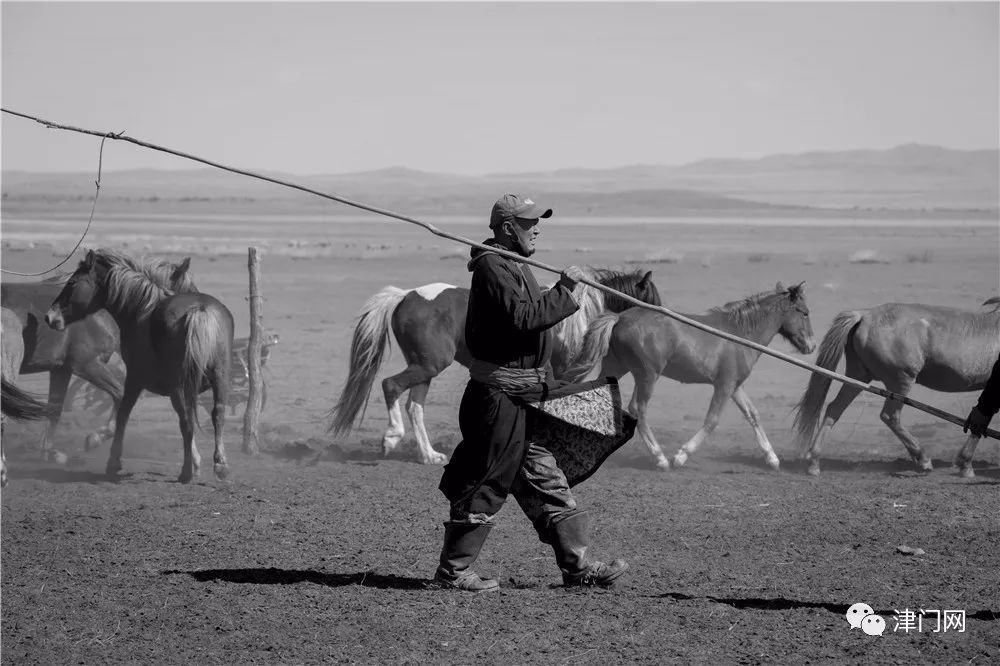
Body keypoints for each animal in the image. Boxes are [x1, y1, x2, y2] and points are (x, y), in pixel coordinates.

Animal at [0, 256, 195, 464]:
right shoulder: (88, 365)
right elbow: (119, 394)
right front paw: (95, 437)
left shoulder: (62, 369)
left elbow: (55, 408)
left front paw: (49, 452)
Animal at [45, 249, 234, 482]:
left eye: (72, 283)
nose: (50, 316)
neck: (142, 310)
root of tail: (199, 309)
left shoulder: (134, 379)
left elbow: (123, 414)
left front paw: (112, 460)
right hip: (219, 378)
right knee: (217, 414)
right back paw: (220, 465)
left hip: (178, 387)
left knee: (186, 423)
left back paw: (186, 472)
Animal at [326, 264, 664, 462]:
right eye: (652, 296)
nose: (660, 324)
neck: (577, 313)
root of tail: (405, 296)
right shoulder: (560, 374)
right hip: (428, 365)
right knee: (391, 386)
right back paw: (392, 437)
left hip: (424, 368)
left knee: (414, 406)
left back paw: (430, 455)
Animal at [568, 282, 816, 470]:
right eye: (804, 312)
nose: (811, 346)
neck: (740, 334)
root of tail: (619, 318)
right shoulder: (723, 386)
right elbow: (712, 421)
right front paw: (681, 456)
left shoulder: (735, 386)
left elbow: (752, 414)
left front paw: (772, 458)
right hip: (647, 375)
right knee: (638, 409)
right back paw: (660, 458)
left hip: (618, 368)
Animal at [796, 298, 1000, 474]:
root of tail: (865, 314)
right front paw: (965, 465)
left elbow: (980, 421)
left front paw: (965, 463)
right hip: (901, 380)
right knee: (890, 416)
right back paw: (923, 459)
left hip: (858, 376)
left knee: (834, 409)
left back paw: (814, 462)